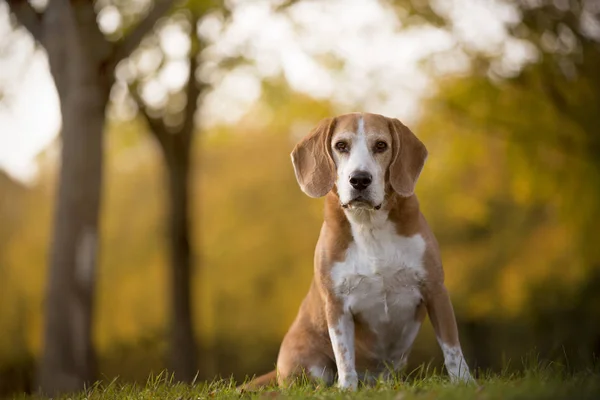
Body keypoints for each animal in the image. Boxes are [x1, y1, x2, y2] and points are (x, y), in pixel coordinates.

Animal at [244, 112, 474, 390]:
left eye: (381, 145)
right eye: (341, 145)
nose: (360, 179)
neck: (369, 224)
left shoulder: (436, 291)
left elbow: (452, 348)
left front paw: (465, 383)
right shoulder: (337, 304)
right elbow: (344, 355)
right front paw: (347, 388)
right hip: (312, 364)